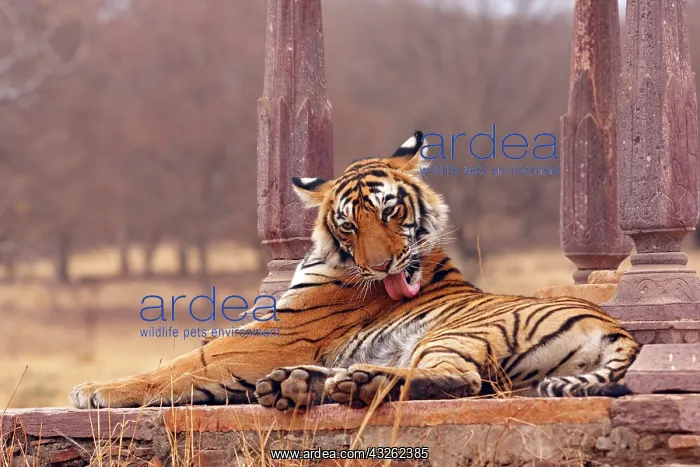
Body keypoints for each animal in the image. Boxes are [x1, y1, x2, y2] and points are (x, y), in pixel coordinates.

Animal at [70, 130, 639, 410]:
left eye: (390, 211)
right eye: (347, 223)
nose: (382, 265)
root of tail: (616, 328)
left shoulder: (272, 338)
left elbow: (180, 363)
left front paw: (94, 390)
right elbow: (191, 368)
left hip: (457, 334)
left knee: (458, 379)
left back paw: (358, 382)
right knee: (473, 385)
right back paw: (299, 386)